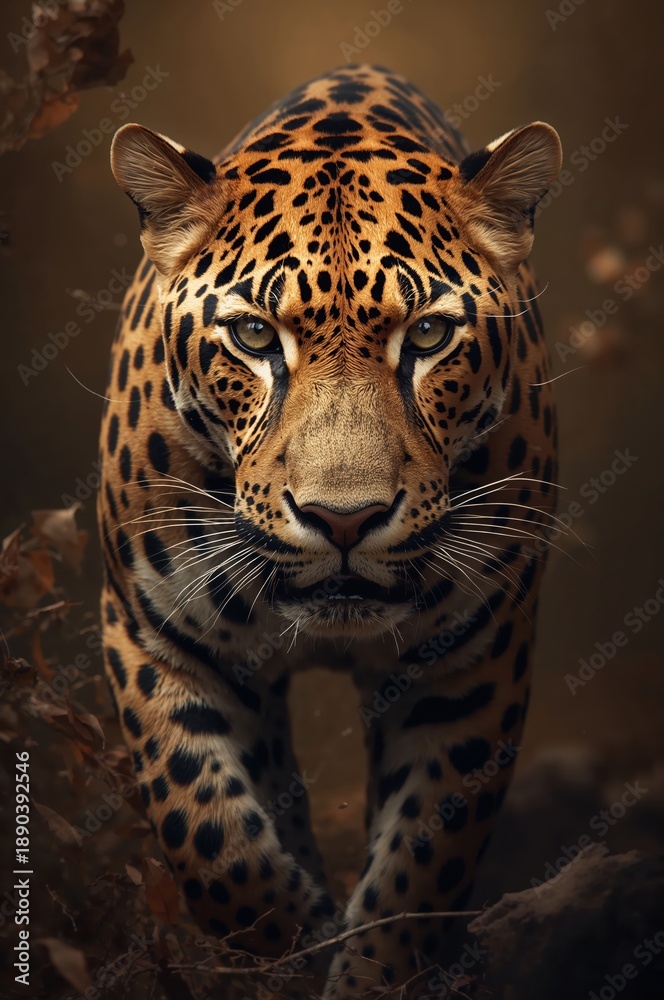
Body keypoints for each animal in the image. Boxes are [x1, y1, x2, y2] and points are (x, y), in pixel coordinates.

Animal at [98, 64, 561, 998]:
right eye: (251, 335)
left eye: (429, 334)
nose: (343, 519)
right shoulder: (150, 630)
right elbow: (210, 839)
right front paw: (295, 937)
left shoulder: (470, 661)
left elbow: (418, 871)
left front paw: (366, 968)